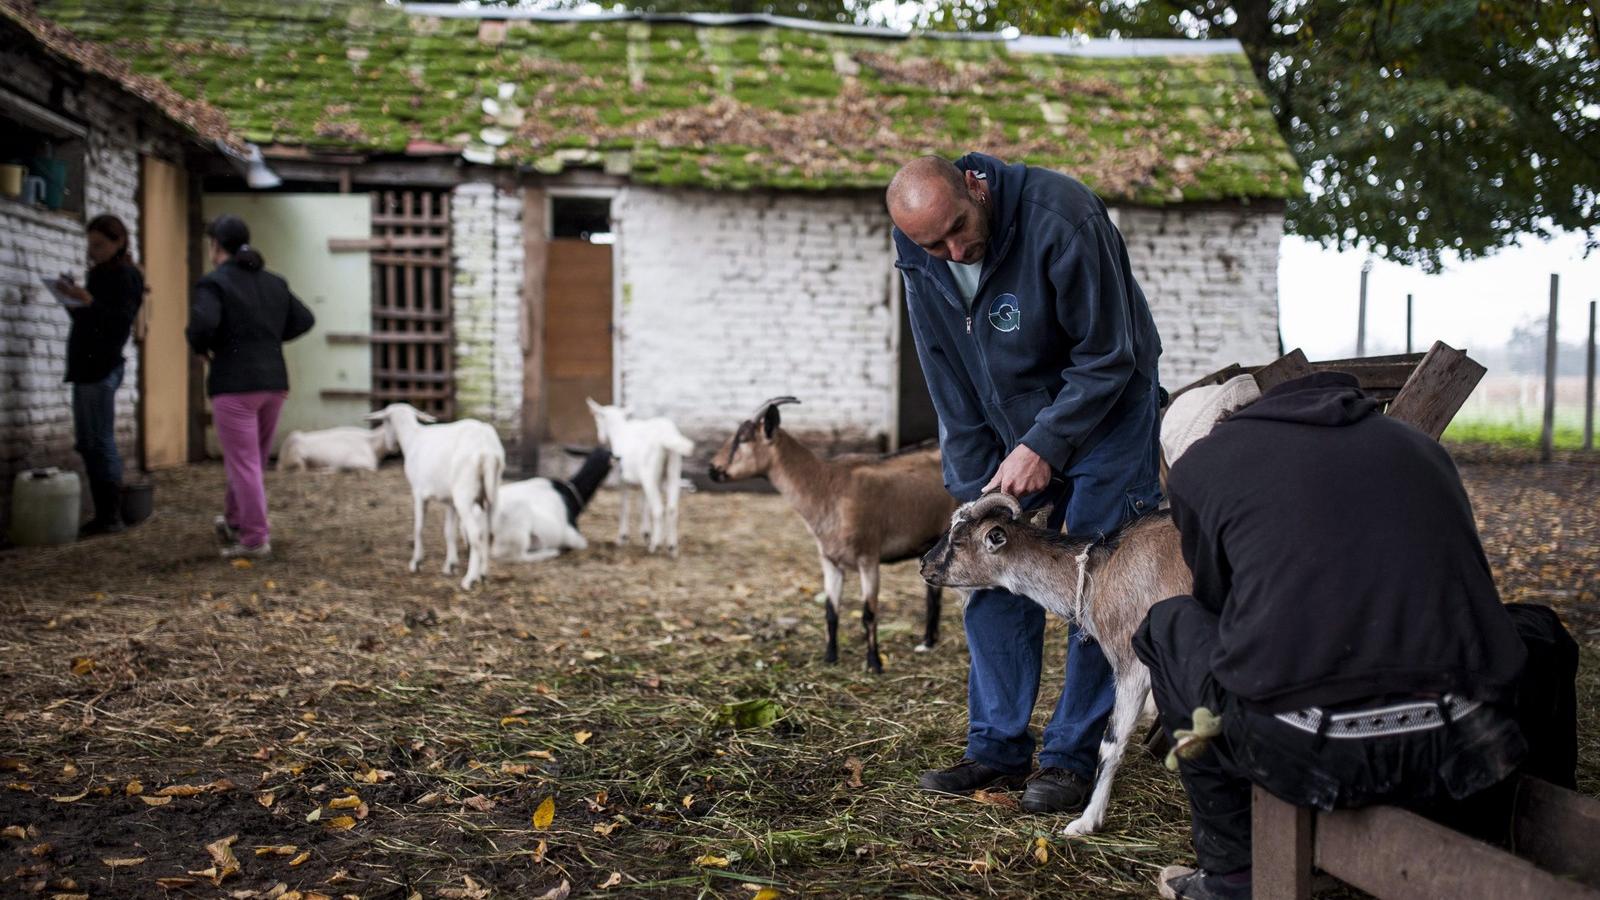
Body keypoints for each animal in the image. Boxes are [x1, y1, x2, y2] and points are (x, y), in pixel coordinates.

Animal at [366, 400, 502, 589]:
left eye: (385, 421)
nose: (391, 447)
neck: (412, 438)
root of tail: (487, 450)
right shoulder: (451, 502)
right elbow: (449, 532)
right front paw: (450, 565)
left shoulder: (418, 492)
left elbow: (418, 527)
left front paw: (416, 563)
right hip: (491, 493)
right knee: (489, 533)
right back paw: (483, 575)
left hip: (464, 496)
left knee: (475, 533)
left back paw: (469, 579)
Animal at [585, 398, 691, 554]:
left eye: (598, 419)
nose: (601, 439)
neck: (620, 430)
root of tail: (667, 434)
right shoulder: (645, 483)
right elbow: (643, 504)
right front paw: (646, 533)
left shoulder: (622, 477)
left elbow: (624, 505)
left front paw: (623, 538)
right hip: (673, 469)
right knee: (672, 509)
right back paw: (672, 547)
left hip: (650, 473)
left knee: (658, 509)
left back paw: (655, 545)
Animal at [921, 490, 1196, 832]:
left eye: (958, 540)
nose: (924, 565)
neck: (1099, 571)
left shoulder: (1131, 663)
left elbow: (1111, 743)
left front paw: (1087, 822)